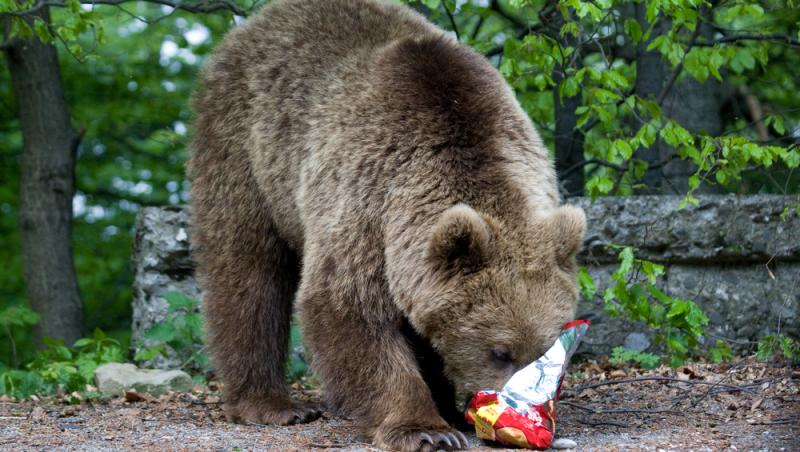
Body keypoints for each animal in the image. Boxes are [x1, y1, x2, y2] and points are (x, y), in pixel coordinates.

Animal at [189, 1, 588, 450]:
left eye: (546, 350)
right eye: (499, 351)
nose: (514, 408)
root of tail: (257, 21)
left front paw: (449, 412)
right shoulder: (366, 201)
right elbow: (346, 307)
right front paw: (425, 429)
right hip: (247, 147)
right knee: (249, 270)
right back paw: (272, 404)